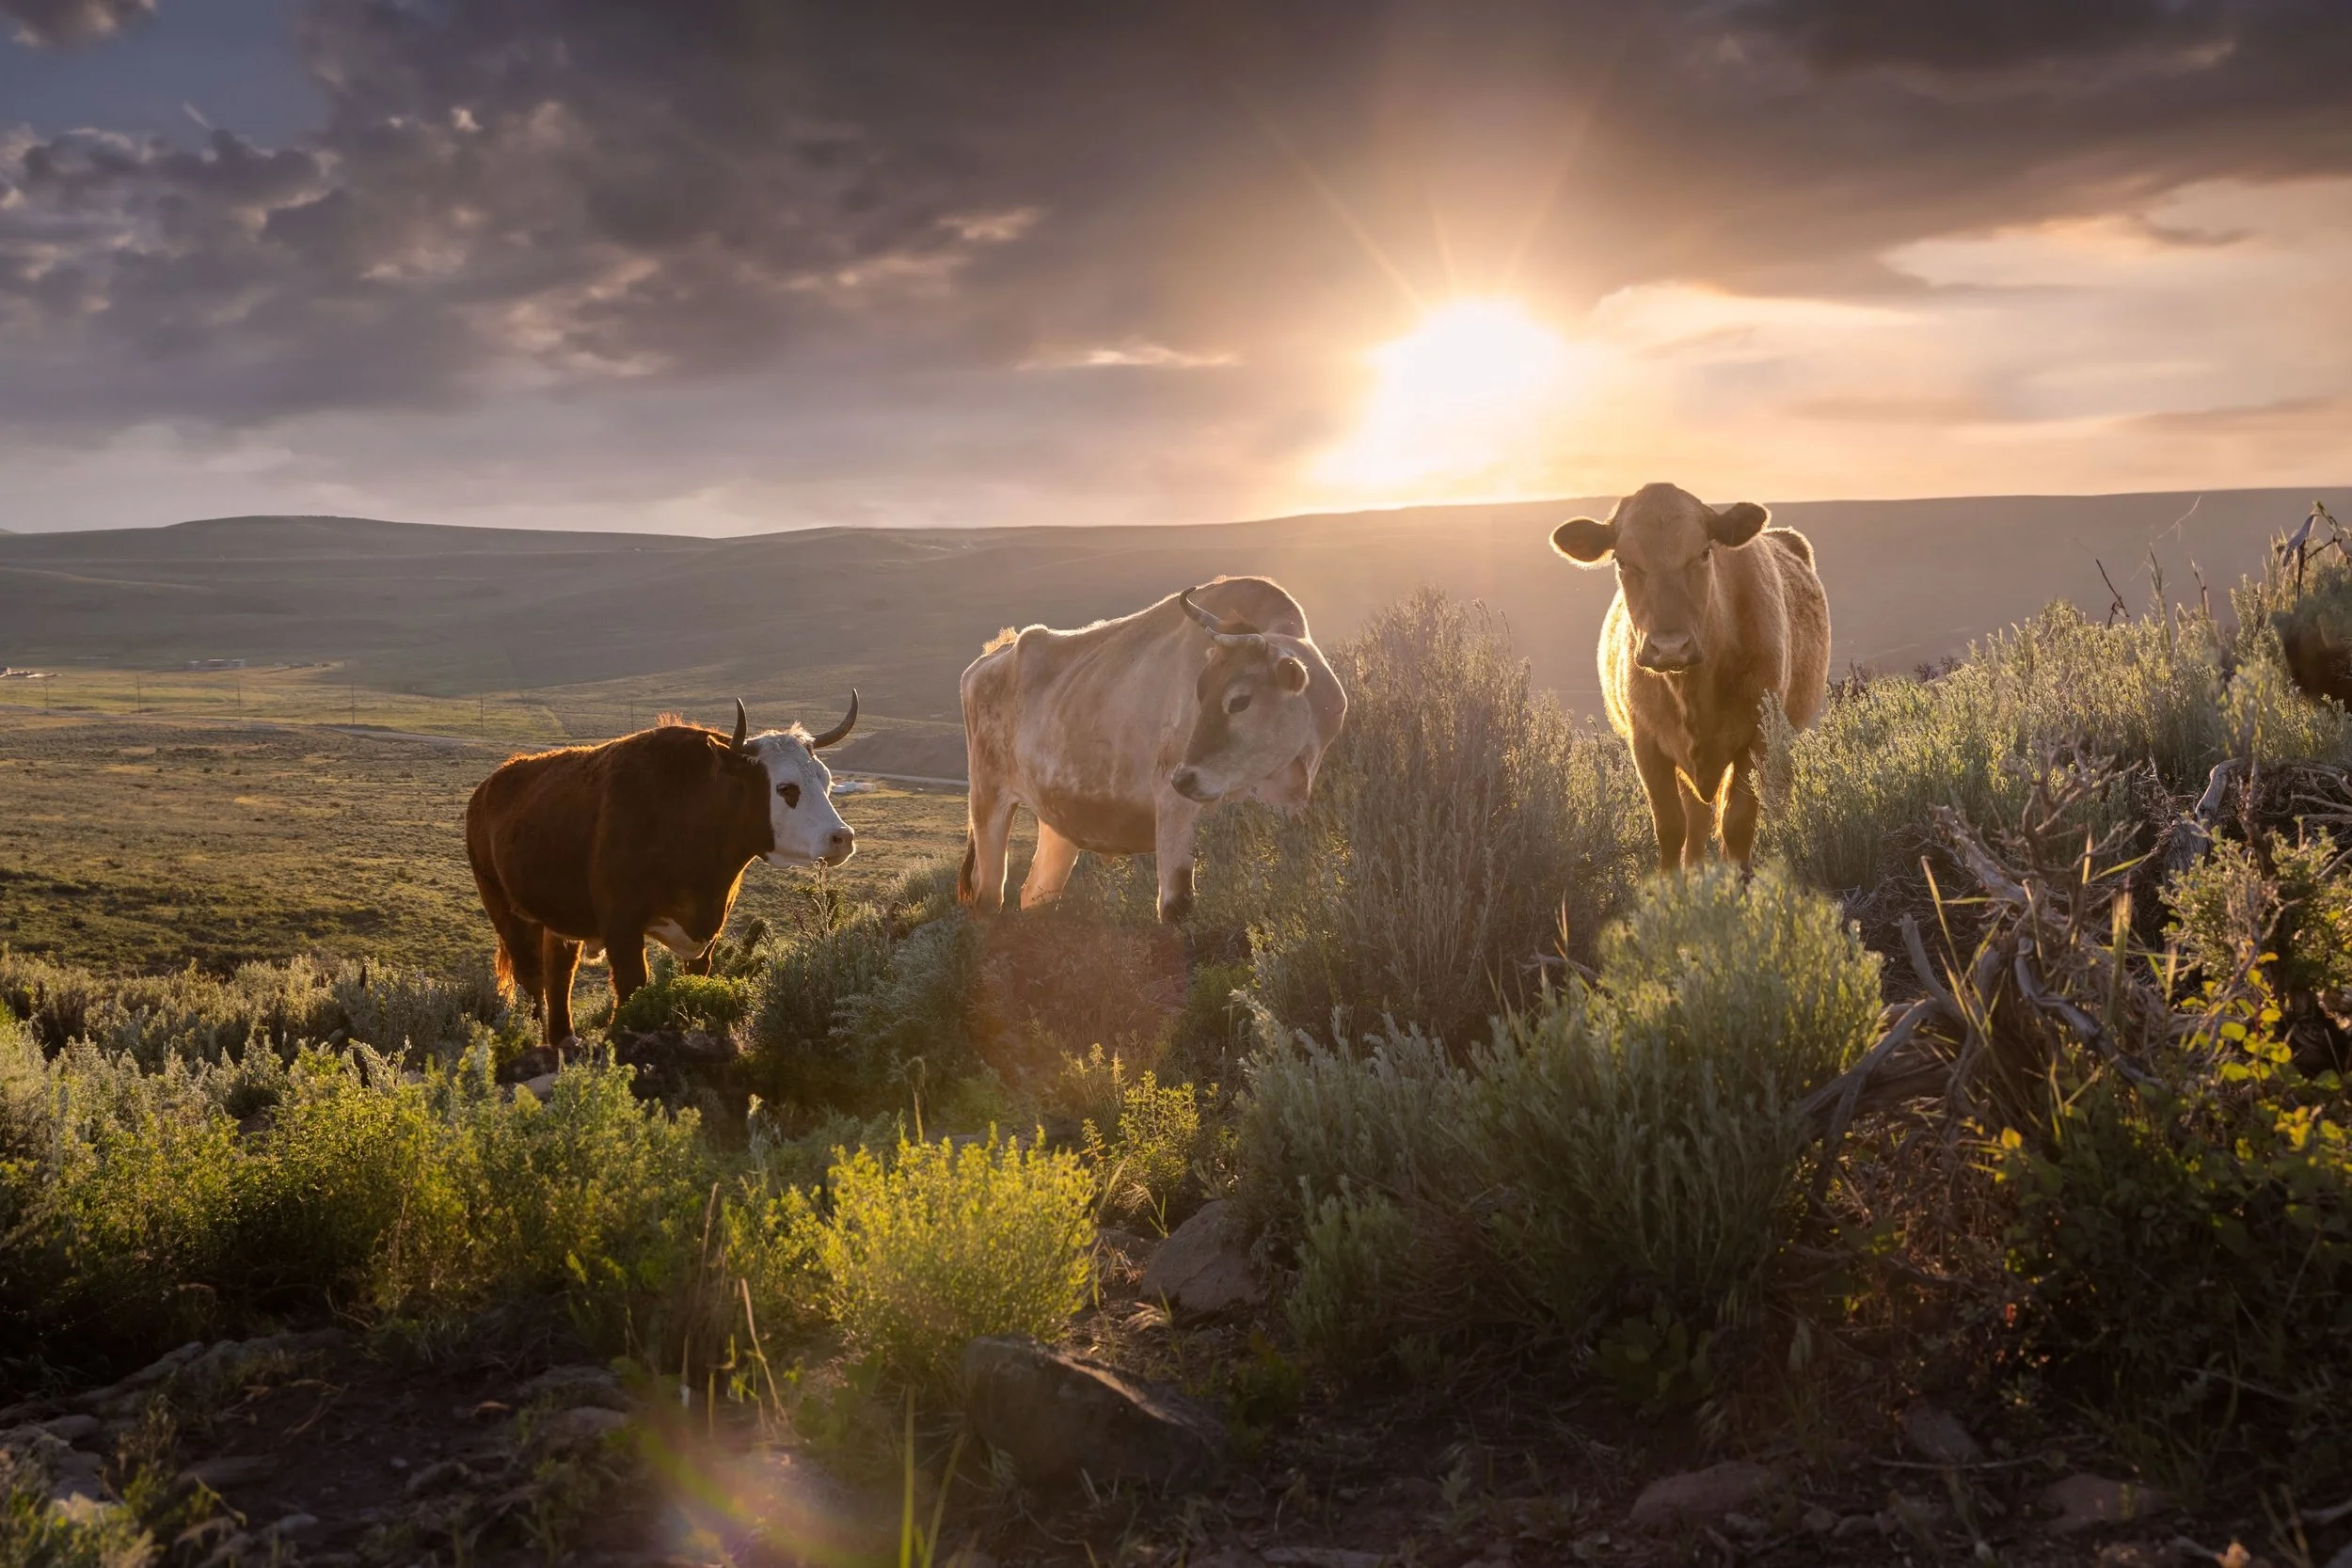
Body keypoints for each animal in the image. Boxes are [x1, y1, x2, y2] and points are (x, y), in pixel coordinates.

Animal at [465, 696, 858, 1045]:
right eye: (786, 788)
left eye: (826, 781)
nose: (842, 838)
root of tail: (487, 787)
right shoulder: (621, 926)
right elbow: (632, 987)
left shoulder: (707, 935)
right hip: (506, 912)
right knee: (532, 977)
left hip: (560, 919)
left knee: (560, 974)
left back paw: (564, 1039)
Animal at [957, 576, 1348, 923]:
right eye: (1199, 691)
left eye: (1239, 700)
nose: (1186, 778)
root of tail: (992, 656)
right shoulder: (1174, 808)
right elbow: (1176, 907)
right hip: (988, 799)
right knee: (988, 897)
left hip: (1058, 821)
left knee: (1035, 893)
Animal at [1550, 482, 1830, 871]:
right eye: (1622, 560)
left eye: (1703, 553)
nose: (1670, 647)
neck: (1694, 691)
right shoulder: (1646, 743)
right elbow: (1671, 826)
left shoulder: (1758, 738)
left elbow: (1737, 823)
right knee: (1696, 820)